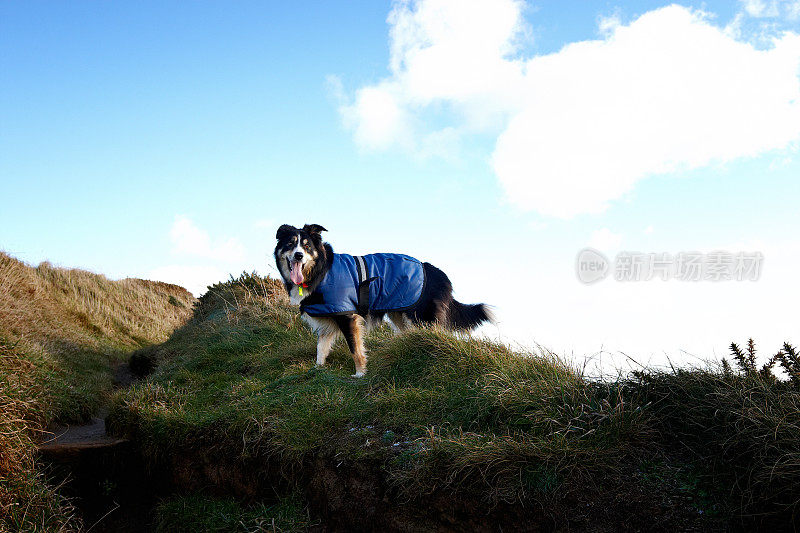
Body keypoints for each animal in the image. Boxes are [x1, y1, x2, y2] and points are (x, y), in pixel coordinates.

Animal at [272, 222, 490, 376]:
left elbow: (355, 349)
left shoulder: (347, 317)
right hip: (399, 314)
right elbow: (321, 349)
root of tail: (436, 272)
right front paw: (317, 370)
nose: (298, 256)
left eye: (307, 246)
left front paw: (360, 374)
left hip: (421, 317)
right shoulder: (328, 320)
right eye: (290, 244)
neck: (321, 271)